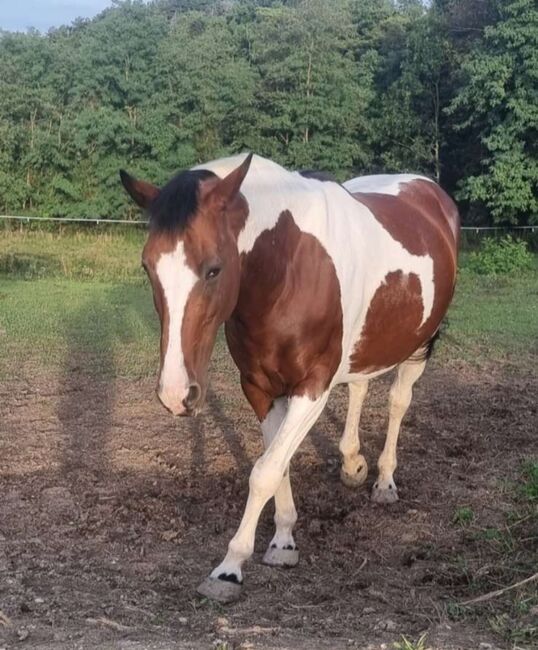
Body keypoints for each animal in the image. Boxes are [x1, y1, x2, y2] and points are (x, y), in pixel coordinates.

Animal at [120, 154, 456, 600]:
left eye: (214, 270)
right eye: (148, 267)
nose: (177, 394)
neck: (286, 266)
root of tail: (427, 190)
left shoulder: (312, 388)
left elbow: (264, 470)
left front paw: (229, 568)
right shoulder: (259, 388)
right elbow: (277, 464)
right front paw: (282, 541)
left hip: (419, 346)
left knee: (399, 401)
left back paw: (384, 481)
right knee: (360, 384)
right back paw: (353, 464)